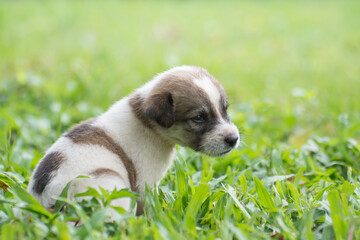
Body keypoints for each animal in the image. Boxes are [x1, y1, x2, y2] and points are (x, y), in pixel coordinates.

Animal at [27, 65, 239, 214]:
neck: (148, 124)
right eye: (199, 118)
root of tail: (47, 201)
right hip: (111, 183)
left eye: (225, 109)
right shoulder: (146, 183)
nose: (234, 139)